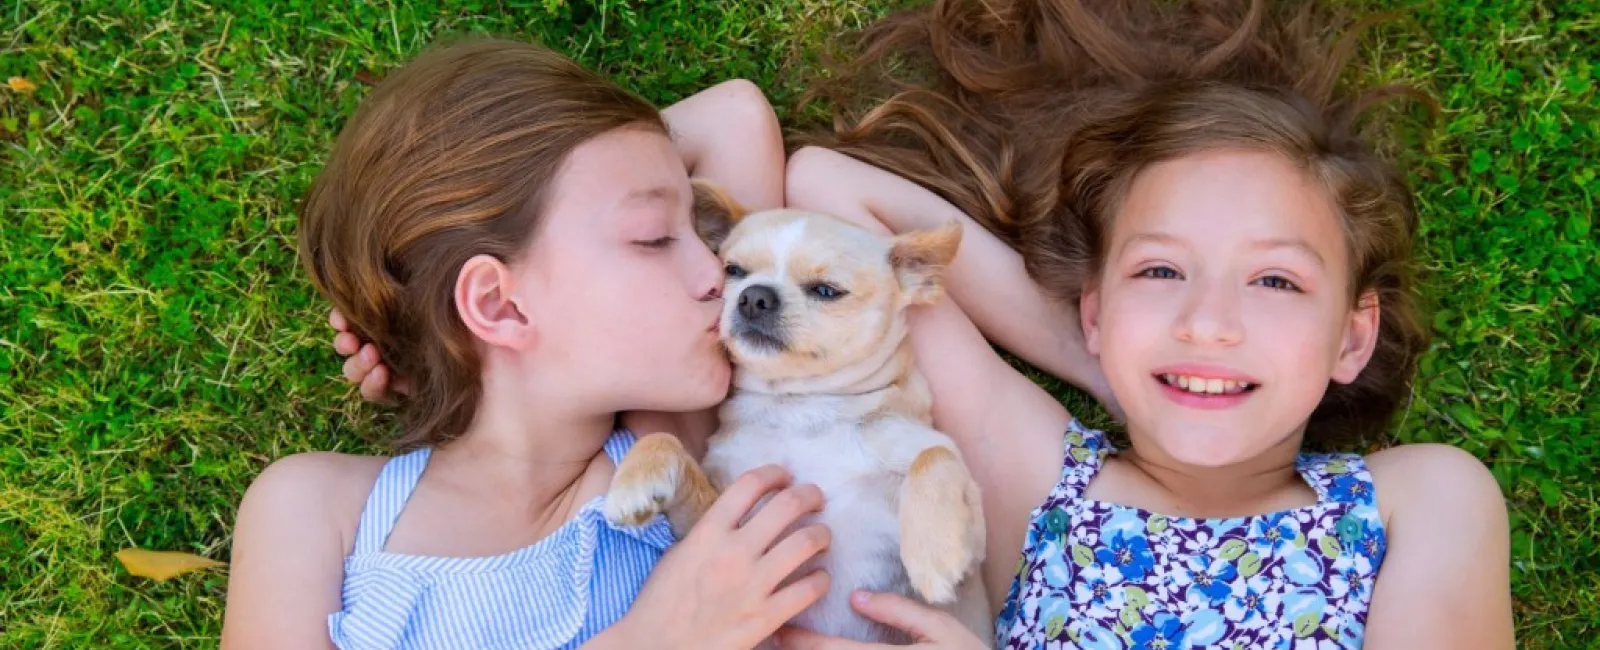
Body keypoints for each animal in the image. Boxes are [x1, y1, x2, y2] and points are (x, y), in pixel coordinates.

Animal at [601, 181, 985, 643]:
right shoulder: (720, 523)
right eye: (733, 270)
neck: (798, 408)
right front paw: (635, 479)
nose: (754, 296)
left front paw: (935, 552)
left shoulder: (977, 547)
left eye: (826, 291)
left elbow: (935, 454)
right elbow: (666, 440)